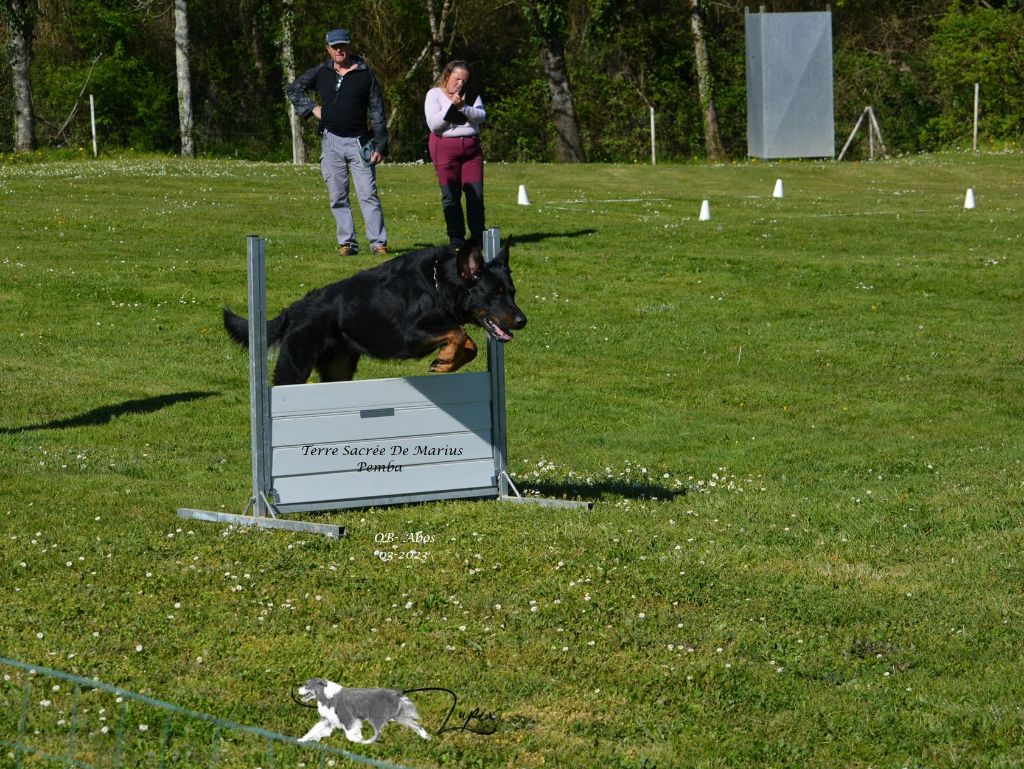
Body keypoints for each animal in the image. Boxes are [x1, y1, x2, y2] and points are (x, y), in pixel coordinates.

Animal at [225, 240, 528, 385]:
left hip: (339, 368)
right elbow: (459, 331)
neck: (438, 284)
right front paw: (445, 359)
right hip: (295, 365)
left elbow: (469, 342)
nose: (522, 320)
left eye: (511, 292)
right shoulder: (409, 335)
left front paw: (447, 362)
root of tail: (294, 309)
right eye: (494, 294)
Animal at [294, 679, 430, 745]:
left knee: (378, 733)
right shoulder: (327, 720)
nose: (297, 690)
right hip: (399, 716)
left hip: (376, 717)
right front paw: (301, 740)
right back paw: (426, 737)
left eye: (306, 685)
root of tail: (396, 693)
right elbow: (313, 731)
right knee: (416, 725)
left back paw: (368, 742)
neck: (327, 697)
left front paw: (358, 740)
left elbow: (350, 735)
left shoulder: (349, 719)